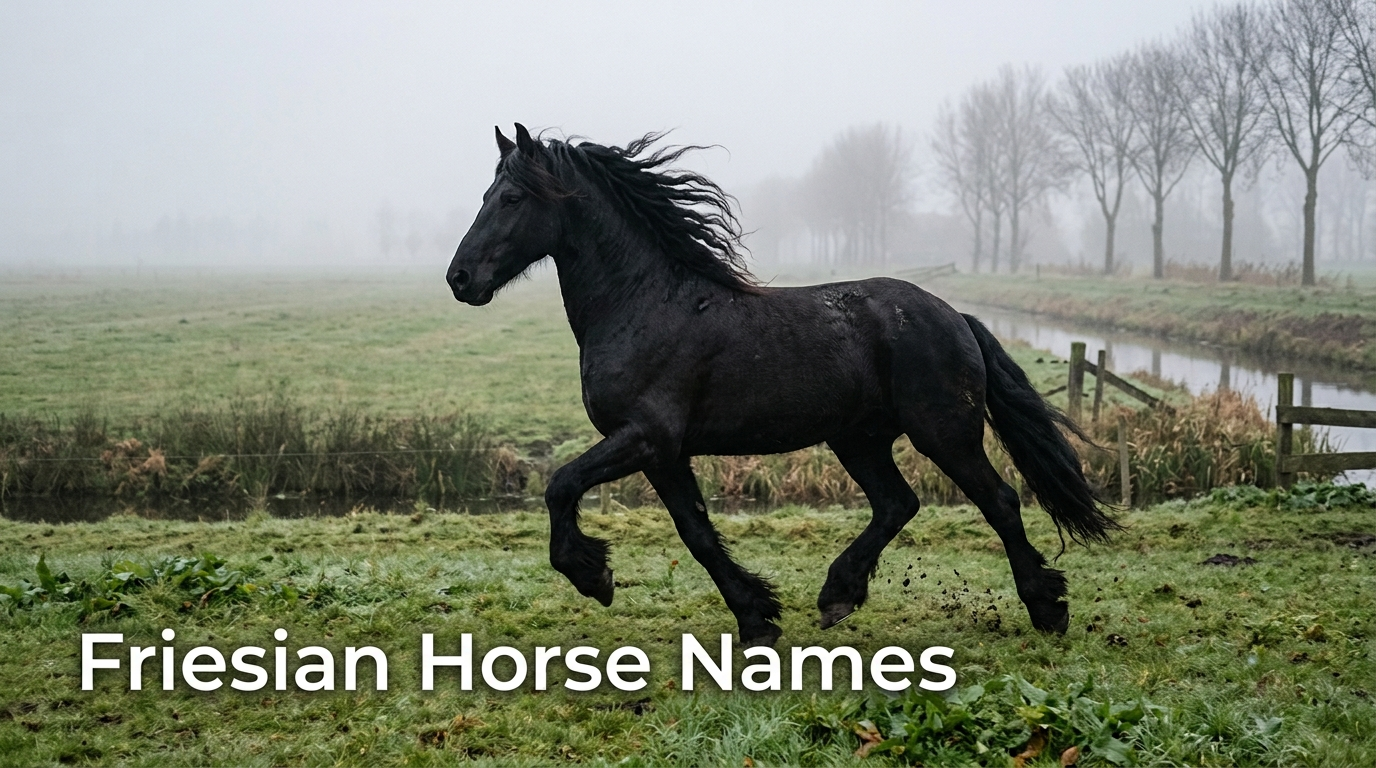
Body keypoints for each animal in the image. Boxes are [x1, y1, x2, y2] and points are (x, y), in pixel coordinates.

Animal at [446, 124, 1118, 647]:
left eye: (510, 197)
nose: (459, 278)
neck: (644, 304)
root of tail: (955, 315)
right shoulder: (664, 453)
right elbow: (697, 533)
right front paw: (757, 617)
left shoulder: (643, 437)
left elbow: (561, 486)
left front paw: (594, 577)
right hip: (859, 439)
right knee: (897, 503)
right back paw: (838, 594)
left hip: (943, 432)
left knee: (998, 500)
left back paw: (1047, 608)